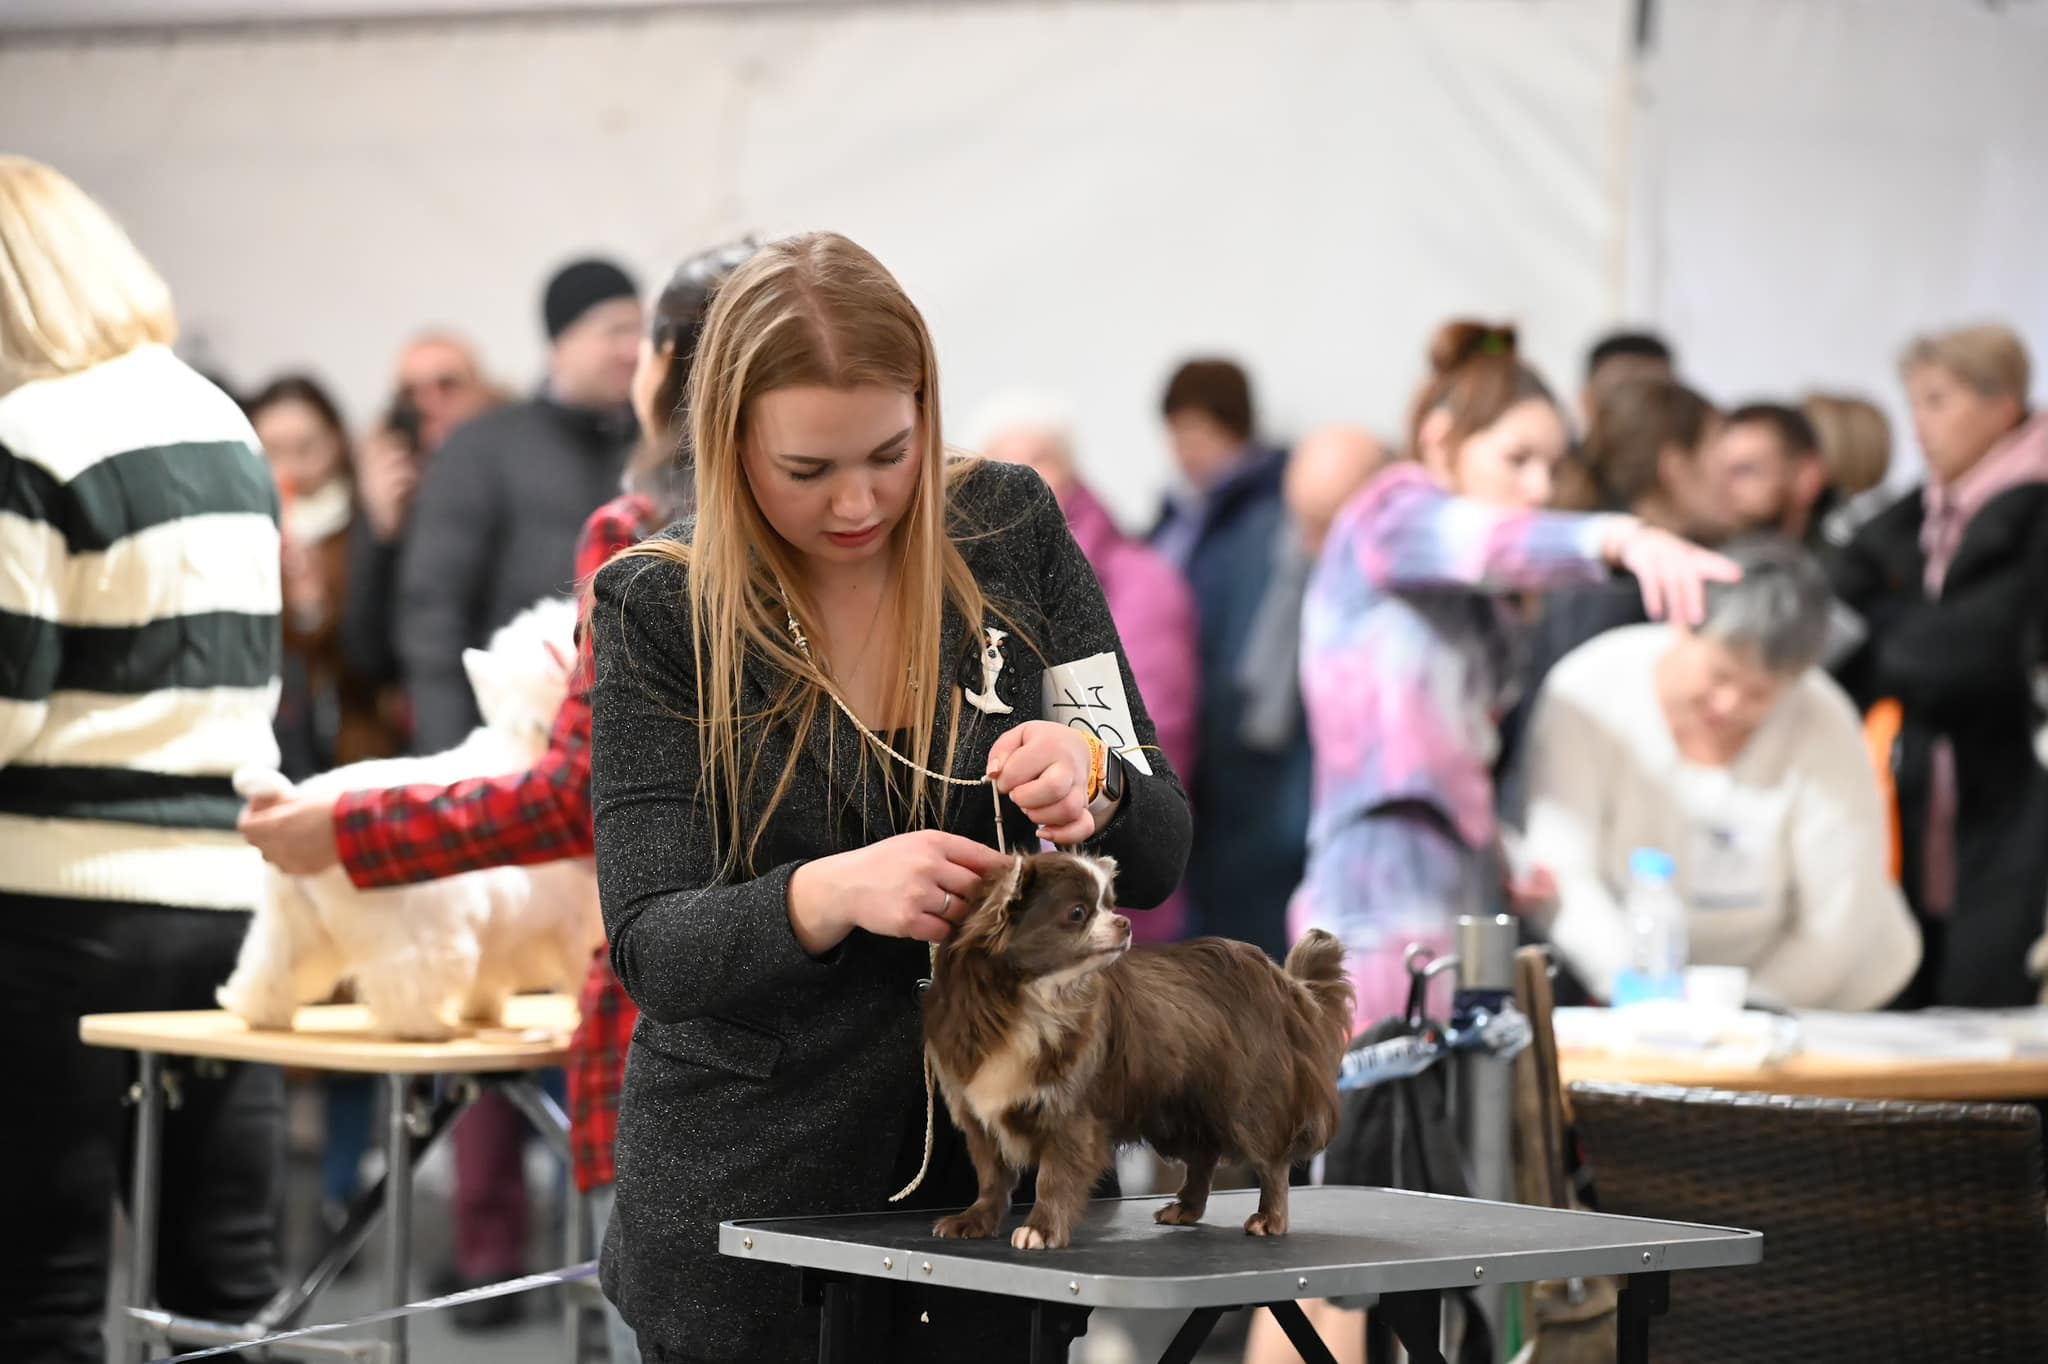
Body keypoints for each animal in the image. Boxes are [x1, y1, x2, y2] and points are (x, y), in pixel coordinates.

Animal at [225, 593, 610, 1032]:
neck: (529, 741)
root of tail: (289, 796)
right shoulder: (573, 927)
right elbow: (578, 970)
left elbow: (489, 980)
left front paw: (482, 1011)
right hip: (421, 935)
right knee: (404, 986)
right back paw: (427, 1028)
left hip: (290, 924)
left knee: (268, 971)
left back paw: (260, 1015)